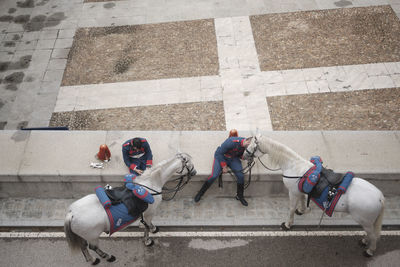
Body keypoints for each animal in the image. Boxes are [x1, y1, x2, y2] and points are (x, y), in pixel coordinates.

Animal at [63, 153, 196, 266]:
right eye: (189, 163)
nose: (194, 172)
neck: (151, 183)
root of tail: (72, 214)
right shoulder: (150, 212)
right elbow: (147, 226)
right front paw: (148, 239)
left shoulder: (145, 213)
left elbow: (146, 224)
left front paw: (150, 228)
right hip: (93, 236)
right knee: (93, 247)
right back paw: (108, 257)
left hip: (83, 236)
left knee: (83, 247)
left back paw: (92, 260)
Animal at [244, 135, 384, 258]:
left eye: (253, 145)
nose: (244, 154)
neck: (293, 166)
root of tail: (380, 198)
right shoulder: (299, 190)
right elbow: (302, 200)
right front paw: (302, 210)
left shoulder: (292, 192)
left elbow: (291, 209)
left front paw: (288, 225)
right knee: (372, 234)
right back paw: (365, 241)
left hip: (365, 221)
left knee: (373, 236)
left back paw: (369, 250)